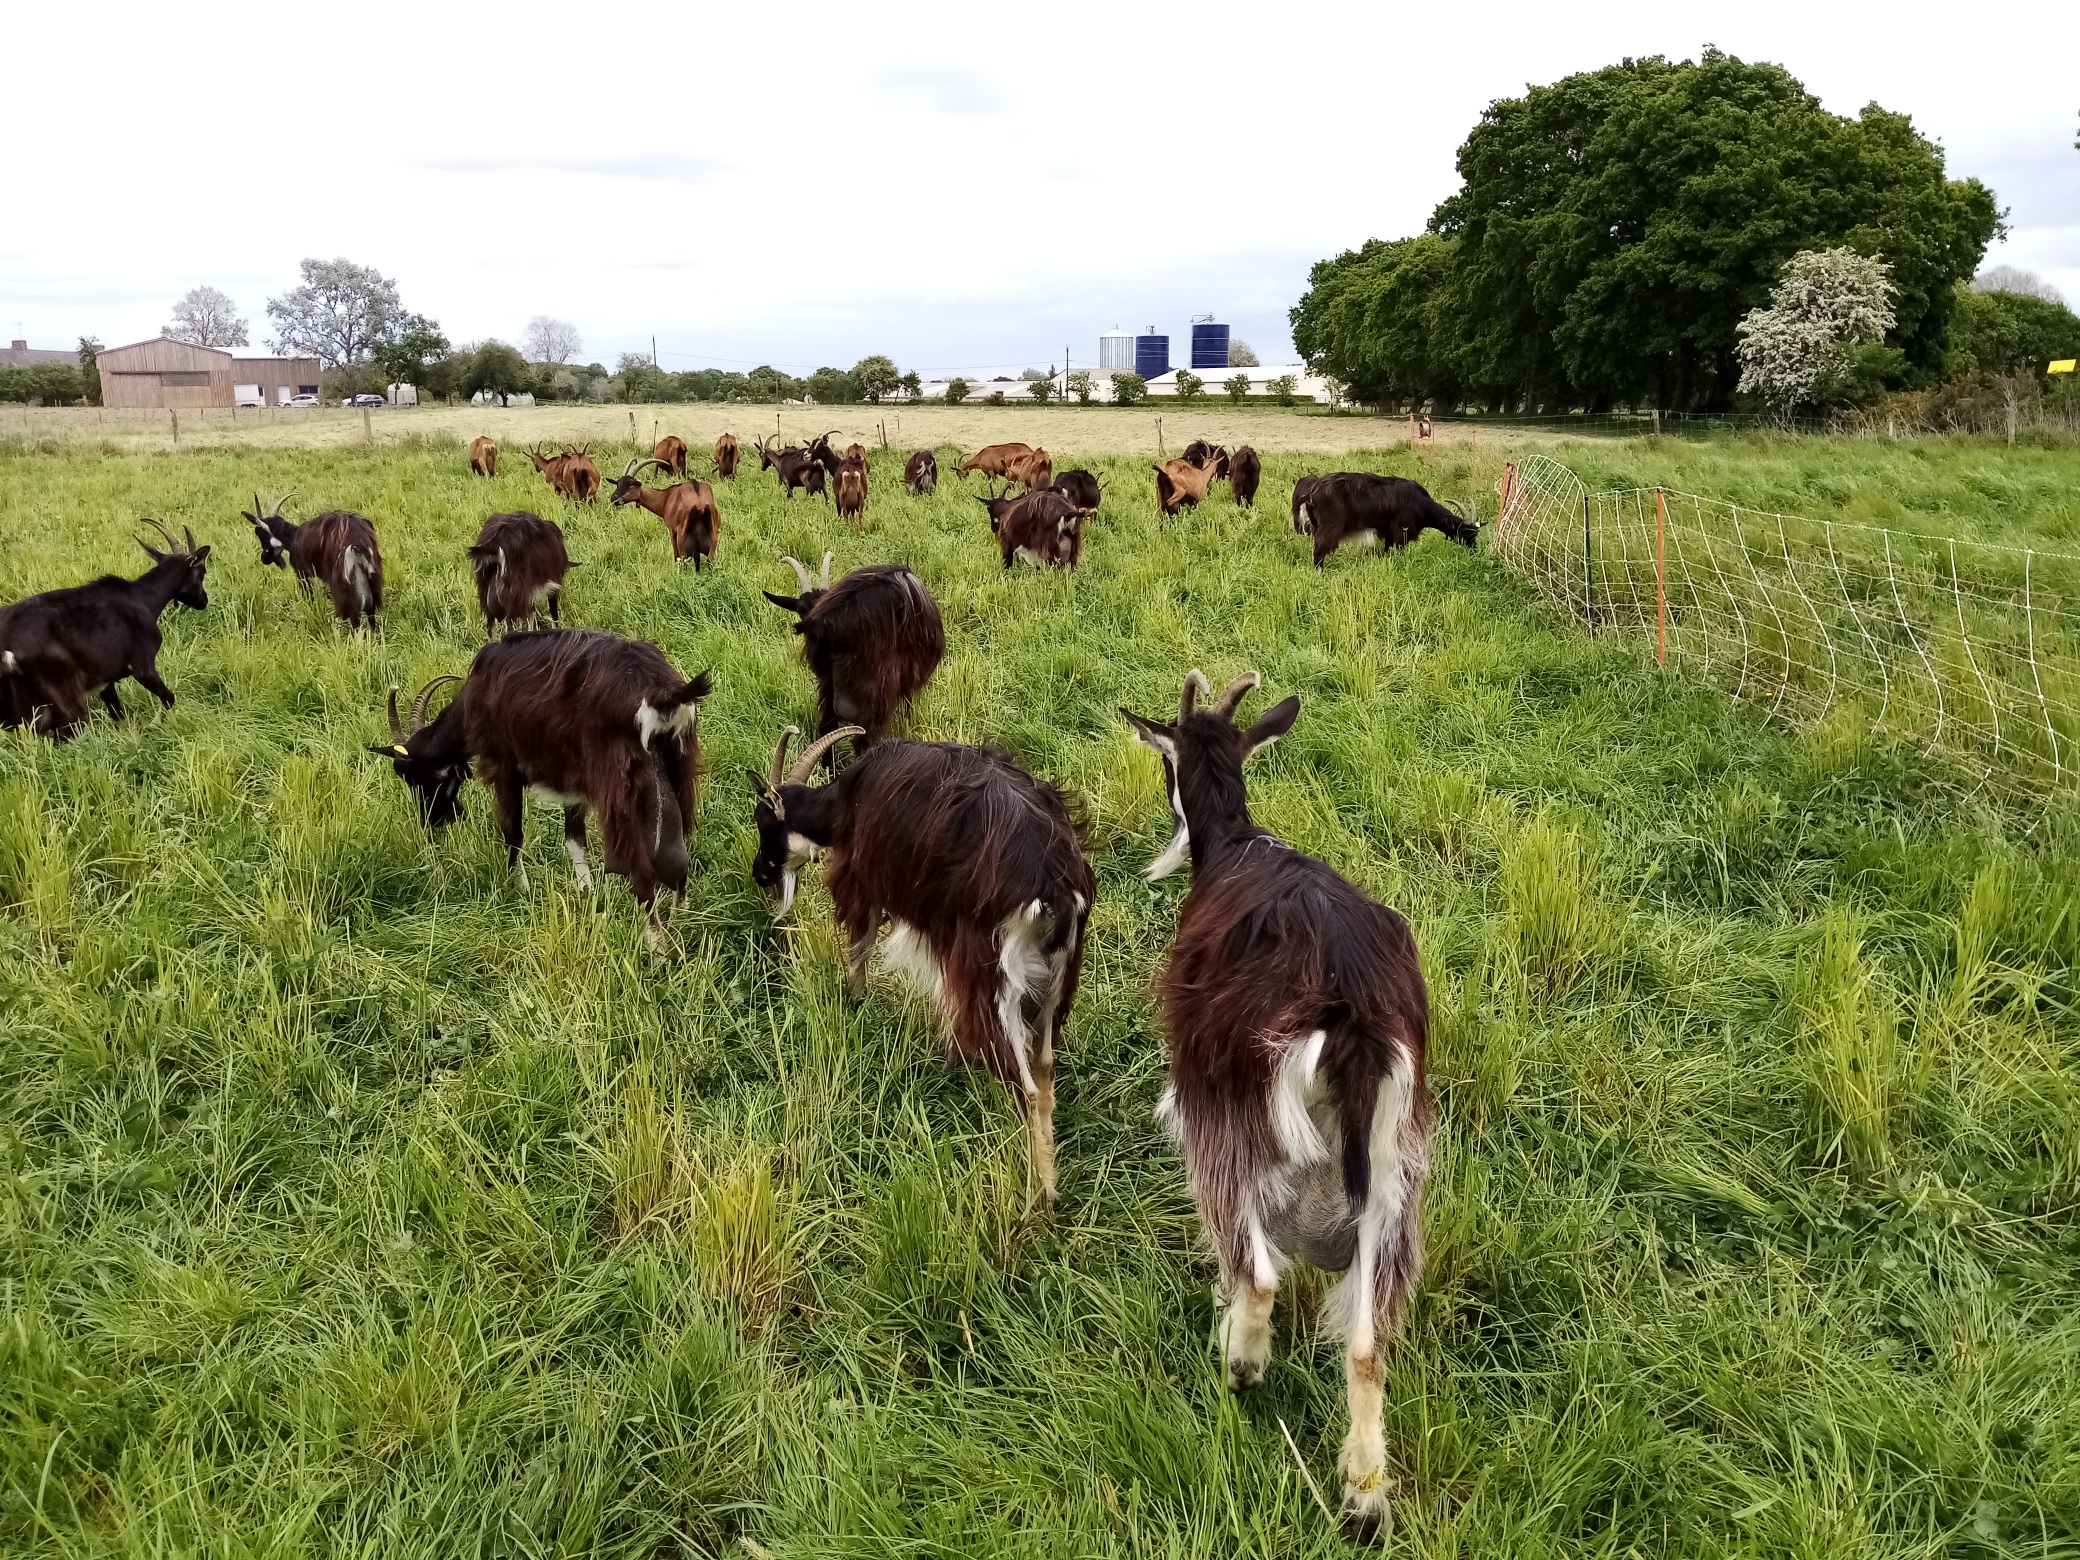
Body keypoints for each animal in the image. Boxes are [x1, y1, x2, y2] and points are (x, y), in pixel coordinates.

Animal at [1, 522, 211, 740]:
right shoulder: (143, 666)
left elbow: (119, 716)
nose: (204, 600)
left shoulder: (105, 680)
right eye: (202, 571)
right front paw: (153, 726)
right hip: (63, 695)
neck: (141, 597)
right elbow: (169, 698)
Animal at [380, 628, 715, 948]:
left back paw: (656, 950)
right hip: (678, 765)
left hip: (618, 785)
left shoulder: (504, 766)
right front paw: (586, 892)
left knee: (642, 868)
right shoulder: (573, 777)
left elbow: (513, 833)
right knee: (677, 851)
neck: (473, 697)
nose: (434, 822)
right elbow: (574, 840)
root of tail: (661, 692)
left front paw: (519, 889)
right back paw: (681, 923)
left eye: (415, 776)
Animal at [752, 728, 1106, 1214]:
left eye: (764, 822)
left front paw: (854, 1001)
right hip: (1056, 982)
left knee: (1027, 1088)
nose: (759, 874)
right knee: (1045, 1072)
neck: (848, 796)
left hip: (994, 973)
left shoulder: (864, 875)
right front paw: (948, 1057)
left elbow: (861, 942)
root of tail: (1055, 889)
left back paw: (1039, 1196)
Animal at [1123, 673, 1431, 1539]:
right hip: (1394, 1174)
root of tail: (1350, 1019)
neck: (1237, 842)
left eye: (1163, 766)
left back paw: (1242, 1361)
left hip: (1237, 1126)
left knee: (1257, 1268)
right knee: (1367, 1340)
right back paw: (1364, 1495)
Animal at [1289, 480, 1472, 578]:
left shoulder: (1389, 532)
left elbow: (1387, 550)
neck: (1420, 503)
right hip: (1330, 529)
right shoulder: (1401, 532)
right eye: (1467, 532)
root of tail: (1311, 492)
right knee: (1318, 553)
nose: (1474, 550)